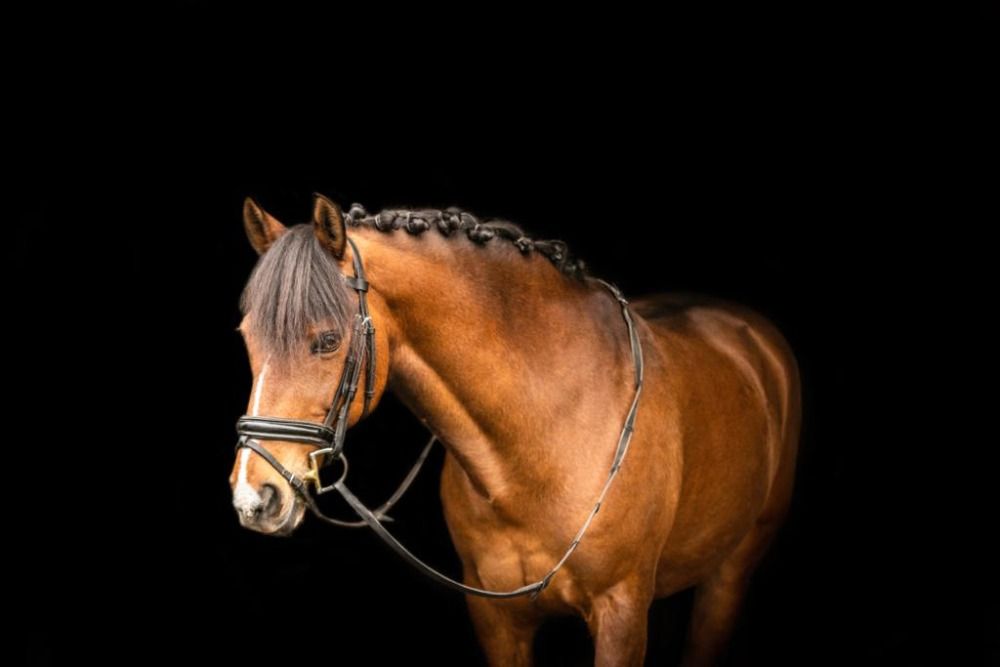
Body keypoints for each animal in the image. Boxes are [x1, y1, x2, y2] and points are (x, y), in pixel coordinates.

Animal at [229, 194, 801, 666]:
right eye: (247, 336)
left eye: (326, 340)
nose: (254, 498)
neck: (540, 440)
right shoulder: (496, 619)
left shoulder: (621, 610)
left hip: (731, 572)